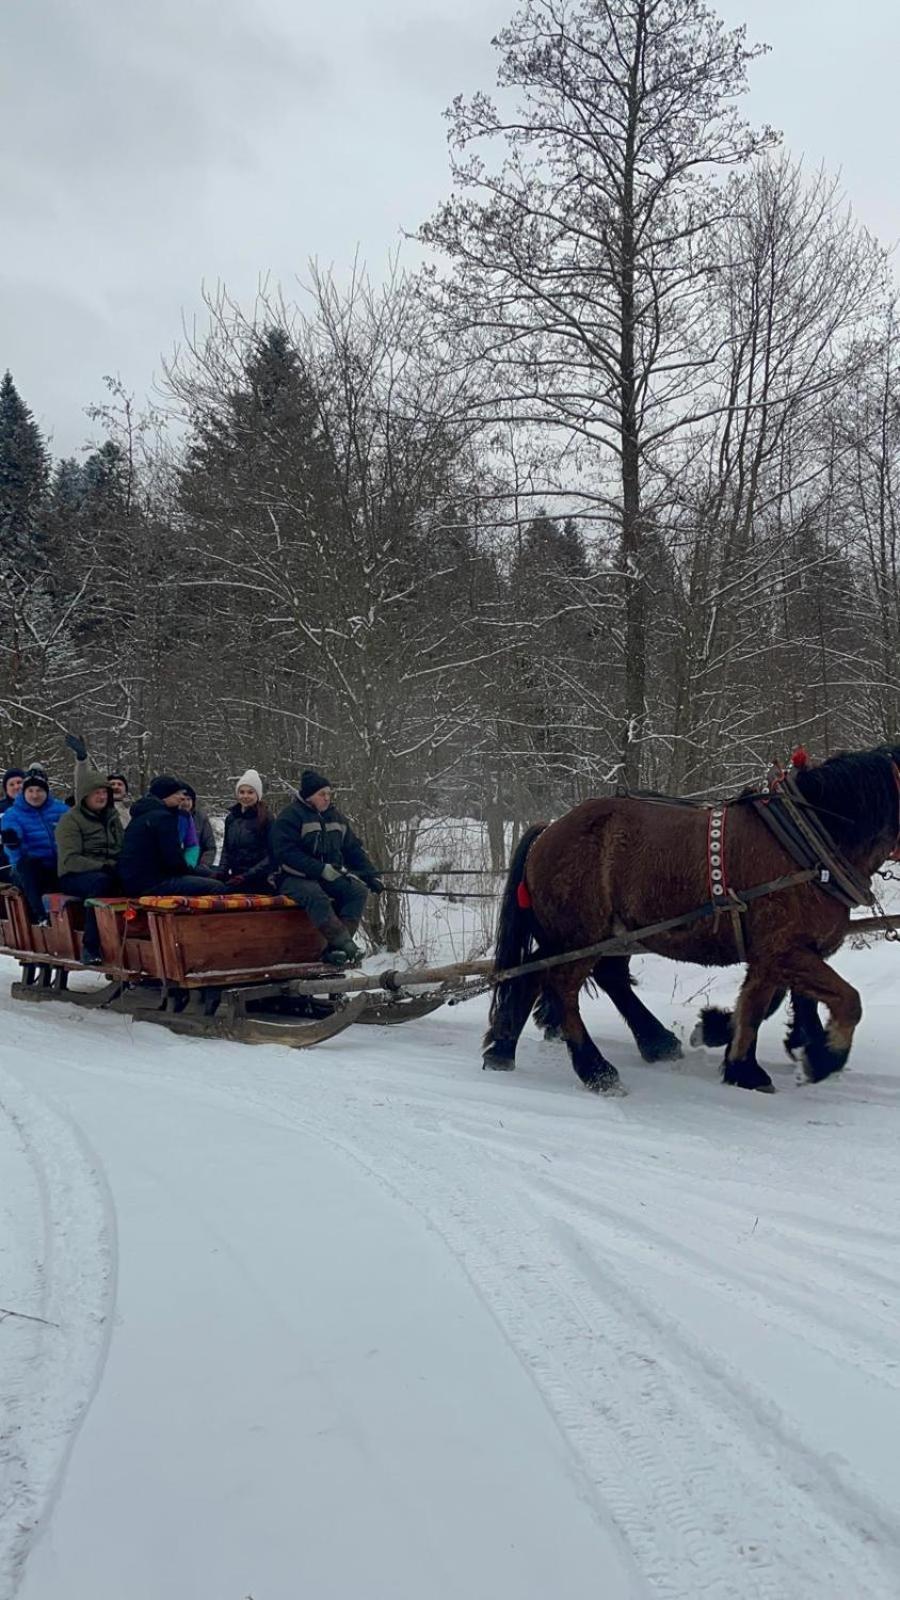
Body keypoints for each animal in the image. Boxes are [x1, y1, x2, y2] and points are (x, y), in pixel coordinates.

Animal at [483, 742, 896, 1094]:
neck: (808, 840)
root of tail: (548, 830)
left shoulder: (780, 951)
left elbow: (761, 1002)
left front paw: (742, 1057)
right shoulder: (782, 949)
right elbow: (845, 1000)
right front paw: (822, 1057)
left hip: (600, 933)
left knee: (551, 973)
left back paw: (507, 1048)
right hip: (582, 934)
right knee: (562, 985)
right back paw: (596, 1069)